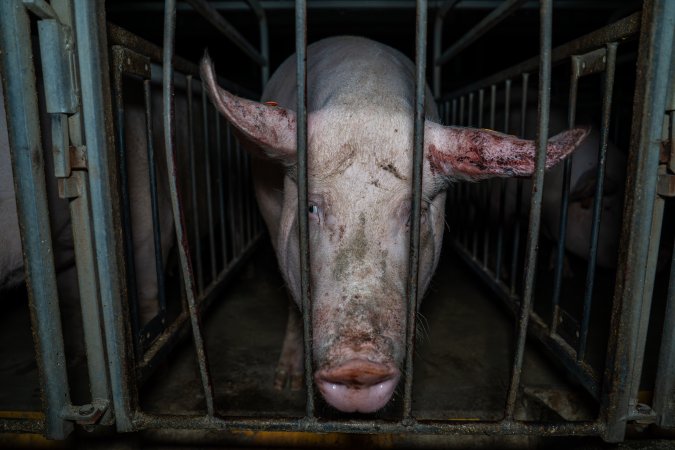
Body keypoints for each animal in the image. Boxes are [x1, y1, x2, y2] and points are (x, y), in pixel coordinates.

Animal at [198, 37, 588, 414]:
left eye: (414, 214)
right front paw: (288, 384)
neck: (368, 97)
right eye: (311, 207)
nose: (358, 366)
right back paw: (286, 382)